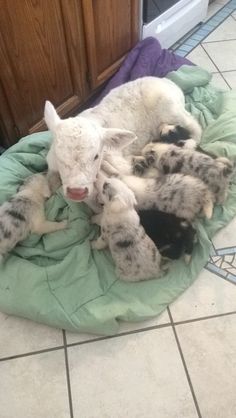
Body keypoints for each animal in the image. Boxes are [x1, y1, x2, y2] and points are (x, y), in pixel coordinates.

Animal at [44, 76, 201, 208]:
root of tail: (166, 80)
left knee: (194, 126)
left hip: (172, 110)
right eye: (58, 155)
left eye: (96, 156)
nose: (77, 192)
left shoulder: (119, 161)